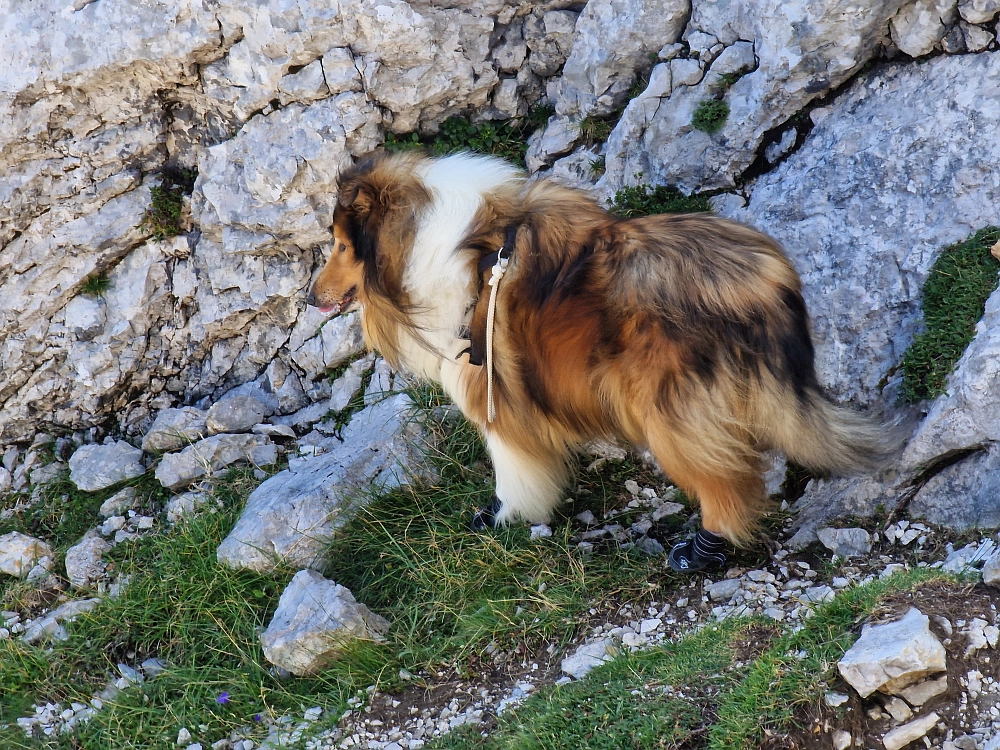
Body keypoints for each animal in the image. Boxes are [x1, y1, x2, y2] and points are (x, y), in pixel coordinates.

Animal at [306, 151, 892, 564]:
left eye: (341, 244)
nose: (310, 298)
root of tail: (762, 283)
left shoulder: (492, 392)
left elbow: (511, 467)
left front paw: (504, 517)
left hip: (672, 413)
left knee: (725, 484)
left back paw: (703, 551)